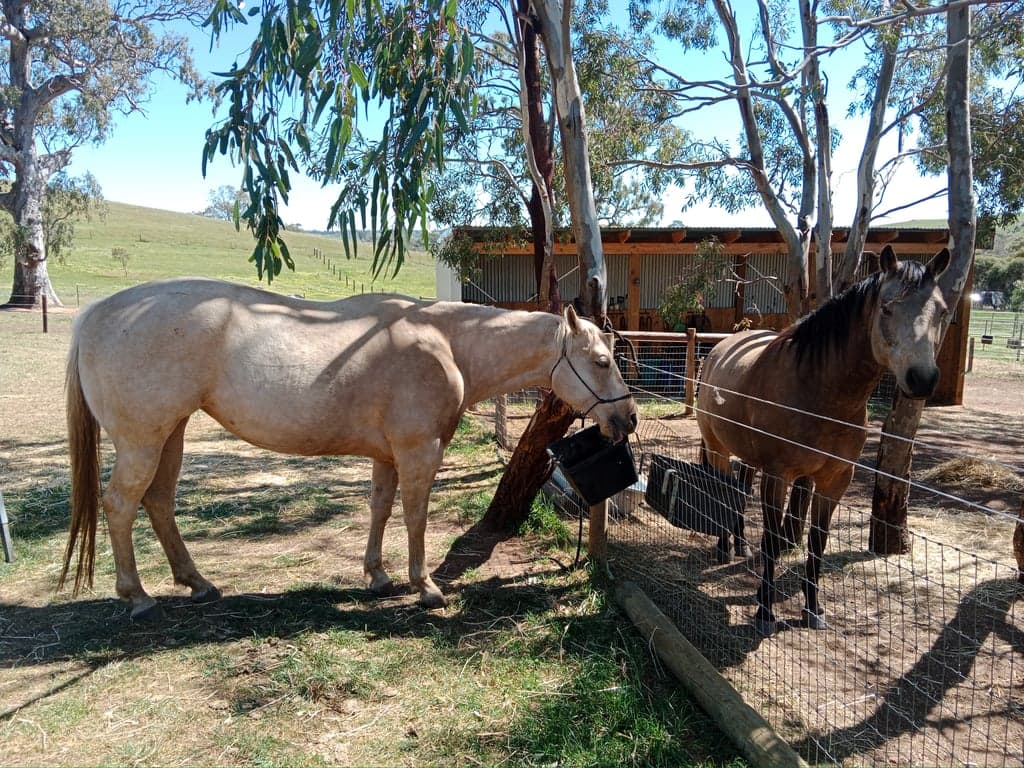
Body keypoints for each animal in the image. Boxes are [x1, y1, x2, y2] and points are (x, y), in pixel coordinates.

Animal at [59, 278, 638, 620]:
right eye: (601, 360)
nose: (628, 417)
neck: (447, 343)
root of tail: (95, 315)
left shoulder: (387, 456)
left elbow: (380, 508)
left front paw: (377, 575)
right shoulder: (419, 451)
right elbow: (414, 516)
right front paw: (425, 586)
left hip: (171, 434)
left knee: (157, 503)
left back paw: (197, 583)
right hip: (143, 440)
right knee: (120, 505)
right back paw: (138, 597)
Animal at [696, 245, 950, 636]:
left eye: (941, 310)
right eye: (886, 307)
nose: (921, 378)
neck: (820, 391)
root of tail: (717, 351)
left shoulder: (835, 480)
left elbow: (817, 542)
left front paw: (813, 609)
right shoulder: (779, 476)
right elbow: (772, 541)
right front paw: (765, 611)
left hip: (747, 457)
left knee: (737, 492)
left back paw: (738, 546)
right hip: (717, 447)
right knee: (720, 491)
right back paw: (724, 547)